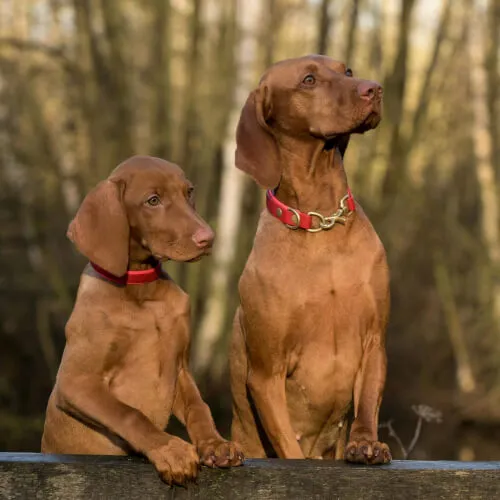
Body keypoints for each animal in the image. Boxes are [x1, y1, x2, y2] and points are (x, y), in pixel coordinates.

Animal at [40, 155, 243, 484]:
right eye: (153, 200)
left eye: (189, 192)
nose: (208, 238)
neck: (141, 292)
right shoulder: (75, 381)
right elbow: (130, 414)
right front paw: (170, 449)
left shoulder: (180, 368)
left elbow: (199, 407)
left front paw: (215, 443)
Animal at [229, 55, 390, 464]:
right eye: (308, 80)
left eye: (347, 71)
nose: (374, 88)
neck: (321, 223)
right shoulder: (266, 373)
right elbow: (289, 446)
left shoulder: (373, 340)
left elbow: (367, 402)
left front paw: (366, 443)